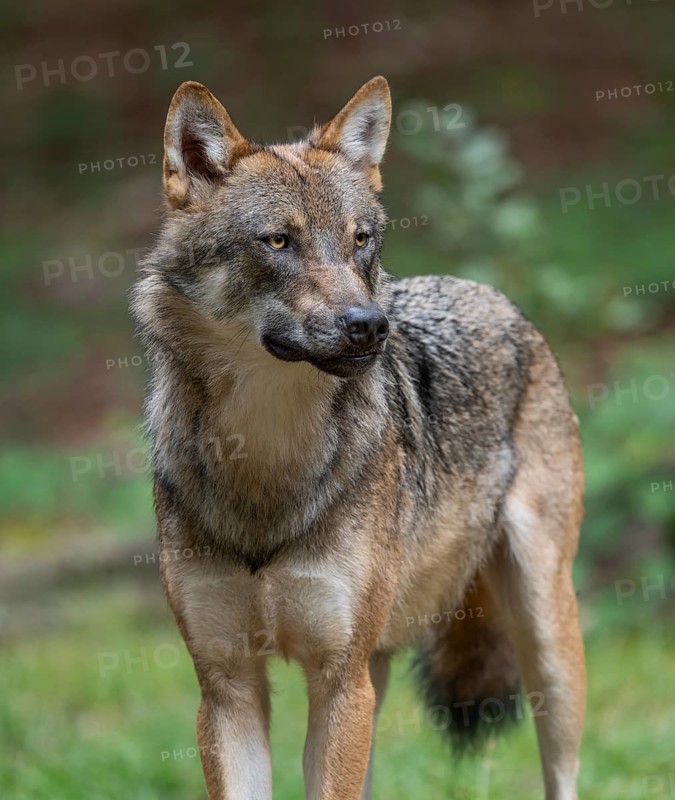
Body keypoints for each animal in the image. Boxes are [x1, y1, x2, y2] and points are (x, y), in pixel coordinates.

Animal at [131, 76, 586, 800]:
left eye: (360, 240)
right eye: (278, 242)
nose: (369, 325)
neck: (266, 458)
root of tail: (486, 291)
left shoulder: (338, 681)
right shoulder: (227, 688)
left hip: (546, 643)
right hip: (378, 671)